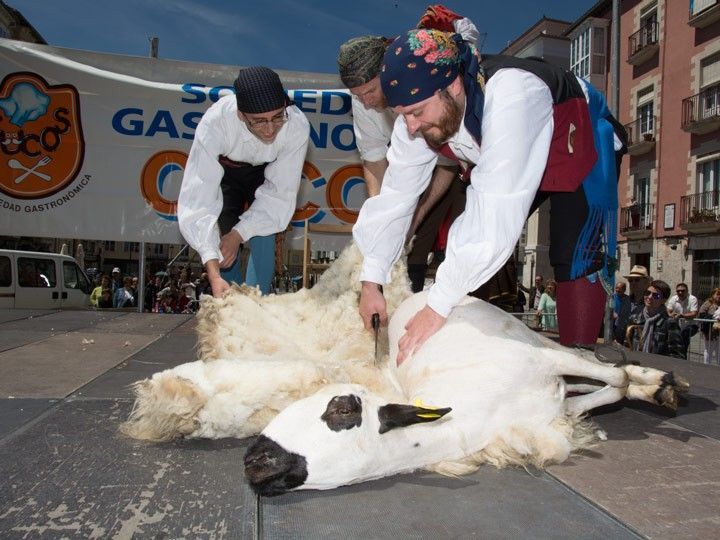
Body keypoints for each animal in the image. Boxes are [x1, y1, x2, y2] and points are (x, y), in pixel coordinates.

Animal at [245, 292, 688, 498]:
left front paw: (643, 381)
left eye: (341, 408)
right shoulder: (548, 408)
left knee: (585, 358)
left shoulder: (539, 362)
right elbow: (597, 395)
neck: (470, 415)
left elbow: (616, 381)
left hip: (523, 335)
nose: (254, 460)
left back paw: (659, 382)